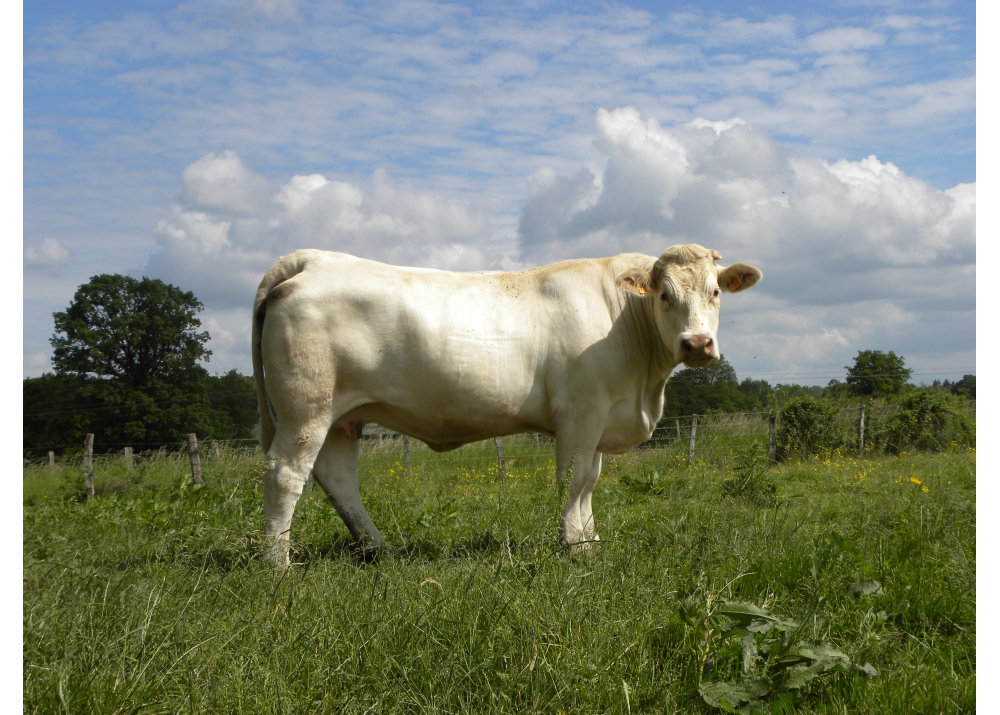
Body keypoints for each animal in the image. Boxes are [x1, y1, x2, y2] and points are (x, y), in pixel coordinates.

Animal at [254, 243, 760, 568]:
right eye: (665, 295)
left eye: (715, 292)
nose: (697, 343)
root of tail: (314, 260)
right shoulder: (581, 412)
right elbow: (574, 481)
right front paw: (573, 546)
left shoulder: (599, 417)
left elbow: (591, 482)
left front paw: (591, 541)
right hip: (307, 409)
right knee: (286, 476)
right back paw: (278, 564)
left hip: (344, 417)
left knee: (338, 479)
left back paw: (379, 550)